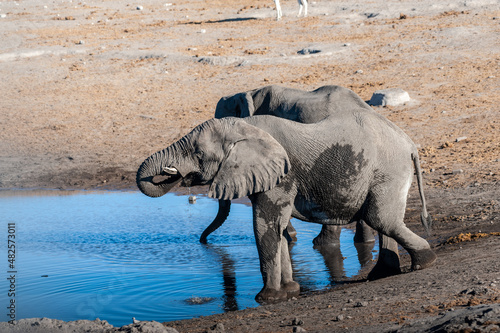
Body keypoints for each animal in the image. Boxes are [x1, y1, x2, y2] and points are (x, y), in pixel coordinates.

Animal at [139, 109, 436, 300]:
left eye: (198, 154)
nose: (201, 242)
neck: (246, 126)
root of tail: (410, 143)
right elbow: (278, 229)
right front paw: (291, 291)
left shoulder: (282, 176)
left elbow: (264, 226)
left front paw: (267, 298)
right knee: (385, 220)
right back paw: (383, 273)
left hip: (388, 170)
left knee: (380, 218)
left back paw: (425, 262)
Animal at [199, 85, 376, 246]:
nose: (203, 241)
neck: (249, 92)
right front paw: (290, 236)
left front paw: (289, 236)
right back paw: (365, 242)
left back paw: (322, 244)